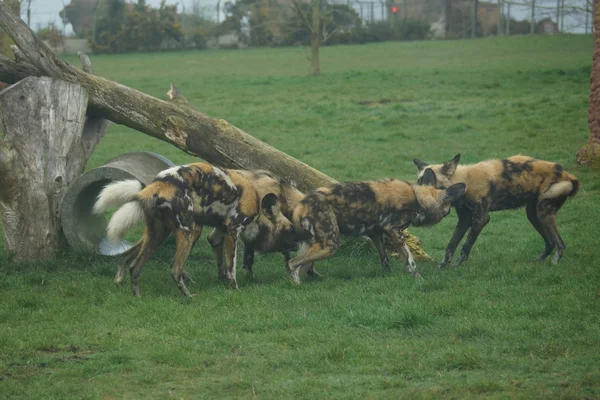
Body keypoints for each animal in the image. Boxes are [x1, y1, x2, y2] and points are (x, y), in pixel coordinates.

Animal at [91, 162, 292, 296]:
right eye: (289, 230)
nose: (295, 246)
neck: (258, 198)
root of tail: (160, 183)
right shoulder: (232, 229)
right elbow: (232, 267)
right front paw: (234, 288)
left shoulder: (220, 231)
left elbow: (222, 262)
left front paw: (222, 279)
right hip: (189, 231)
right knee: (174, 268)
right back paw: (188, 296)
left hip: (158, 234)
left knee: (132, 264)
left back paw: (136, 296)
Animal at [284, 170, 464, 282]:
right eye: (448, 209)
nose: (450, 212)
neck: (417, 197)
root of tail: (302, 203)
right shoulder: (394, 231)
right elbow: (410, 261)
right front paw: (418, 278)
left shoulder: (376, 234)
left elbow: (384, 258)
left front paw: (388, 275)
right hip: (330, 244)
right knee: (293, 263)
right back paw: (296, 284)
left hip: (318, 243)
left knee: (306, 266)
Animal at [414, 155, 580, 268]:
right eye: (419, 182)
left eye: (431, 181)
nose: (416, 196)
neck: (465, 182)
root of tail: (568, 175)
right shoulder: (464, 221)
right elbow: (451, 245)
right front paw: (442, 267)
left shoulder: (481, 219)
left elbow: (465, 246)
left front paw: (457, 265)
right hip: (533, 215)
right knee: (550, 242)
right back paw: (538, 261)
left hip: (543, 213)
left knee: (560, 244)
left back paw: (554, 263)